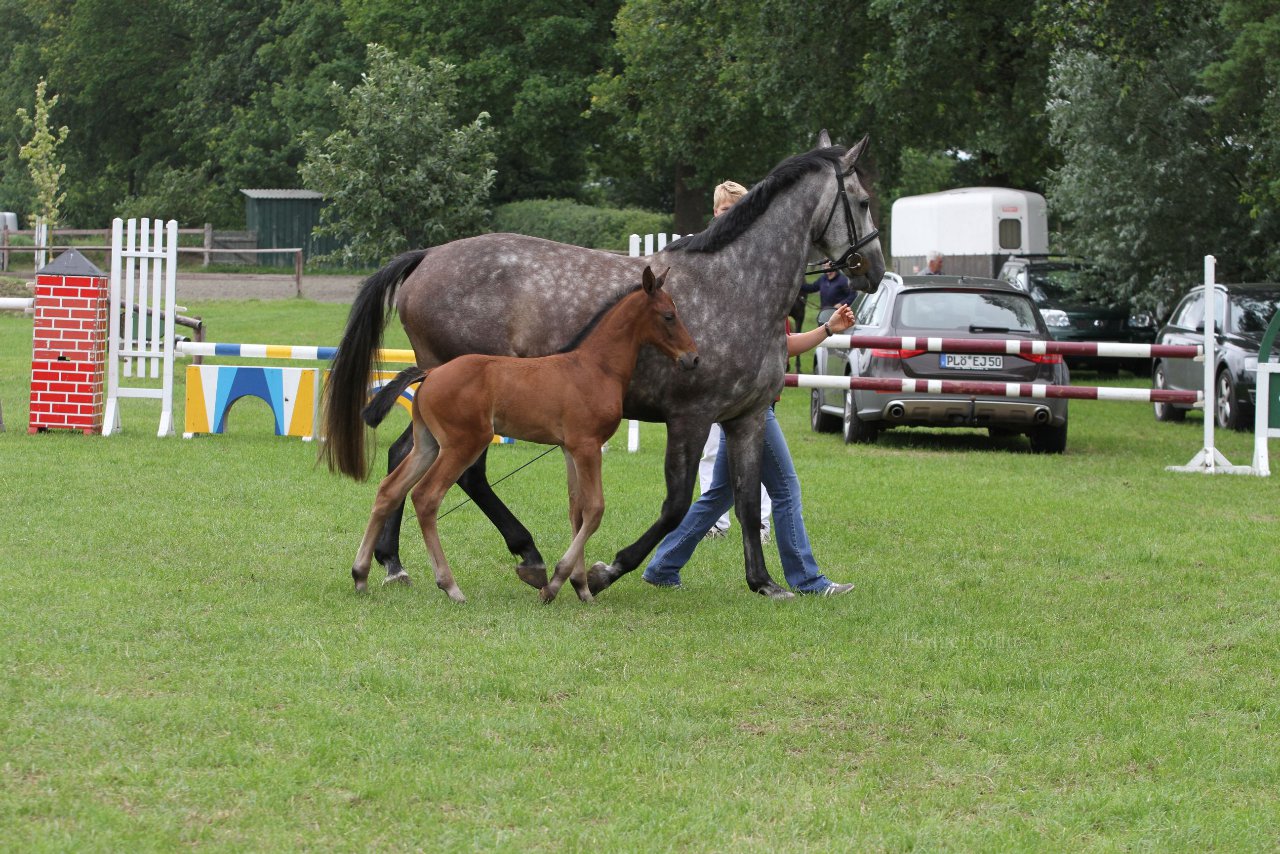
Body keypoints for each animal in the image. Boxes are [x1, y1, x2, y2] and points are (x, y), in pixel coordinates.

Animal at [320, 133, 885, 601]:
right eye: (861, 201)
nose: (875, 271)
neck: (737, 286)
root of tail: (428, 256)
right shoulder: (691, 417)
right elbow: (676, 505)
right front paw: (604, 571)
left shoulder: (744, 419)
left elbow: (747, 502)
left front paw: (764, 582)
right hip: (469, 414)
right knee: (462, 477)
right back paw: (522, 555)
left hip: (440, 408)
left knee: (403, 458)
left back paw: (390, 562)